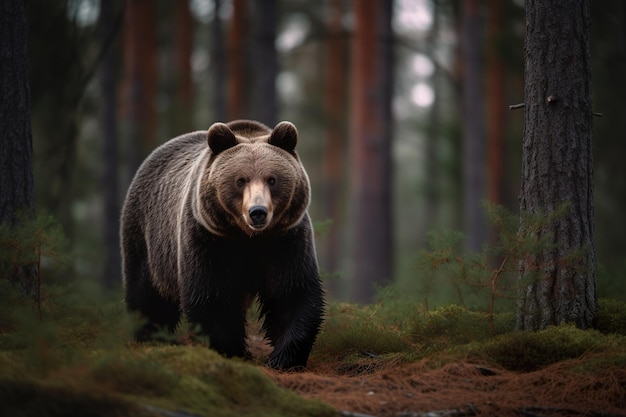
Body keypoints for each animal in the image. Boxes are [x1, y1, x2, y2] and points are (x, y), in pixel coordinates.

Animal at [120, 119, 324, 368]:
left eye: (272, 179)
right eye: (240, 180)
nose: (257, 212)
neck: (249, 237)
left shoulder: (285, 239)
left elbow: (291, 292)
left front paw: (283, 357)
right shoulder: (208, 239)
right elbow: (211, 295)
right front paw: (233, 350)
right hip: (146, 235)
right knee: (147, 293)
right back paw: (152, 337)